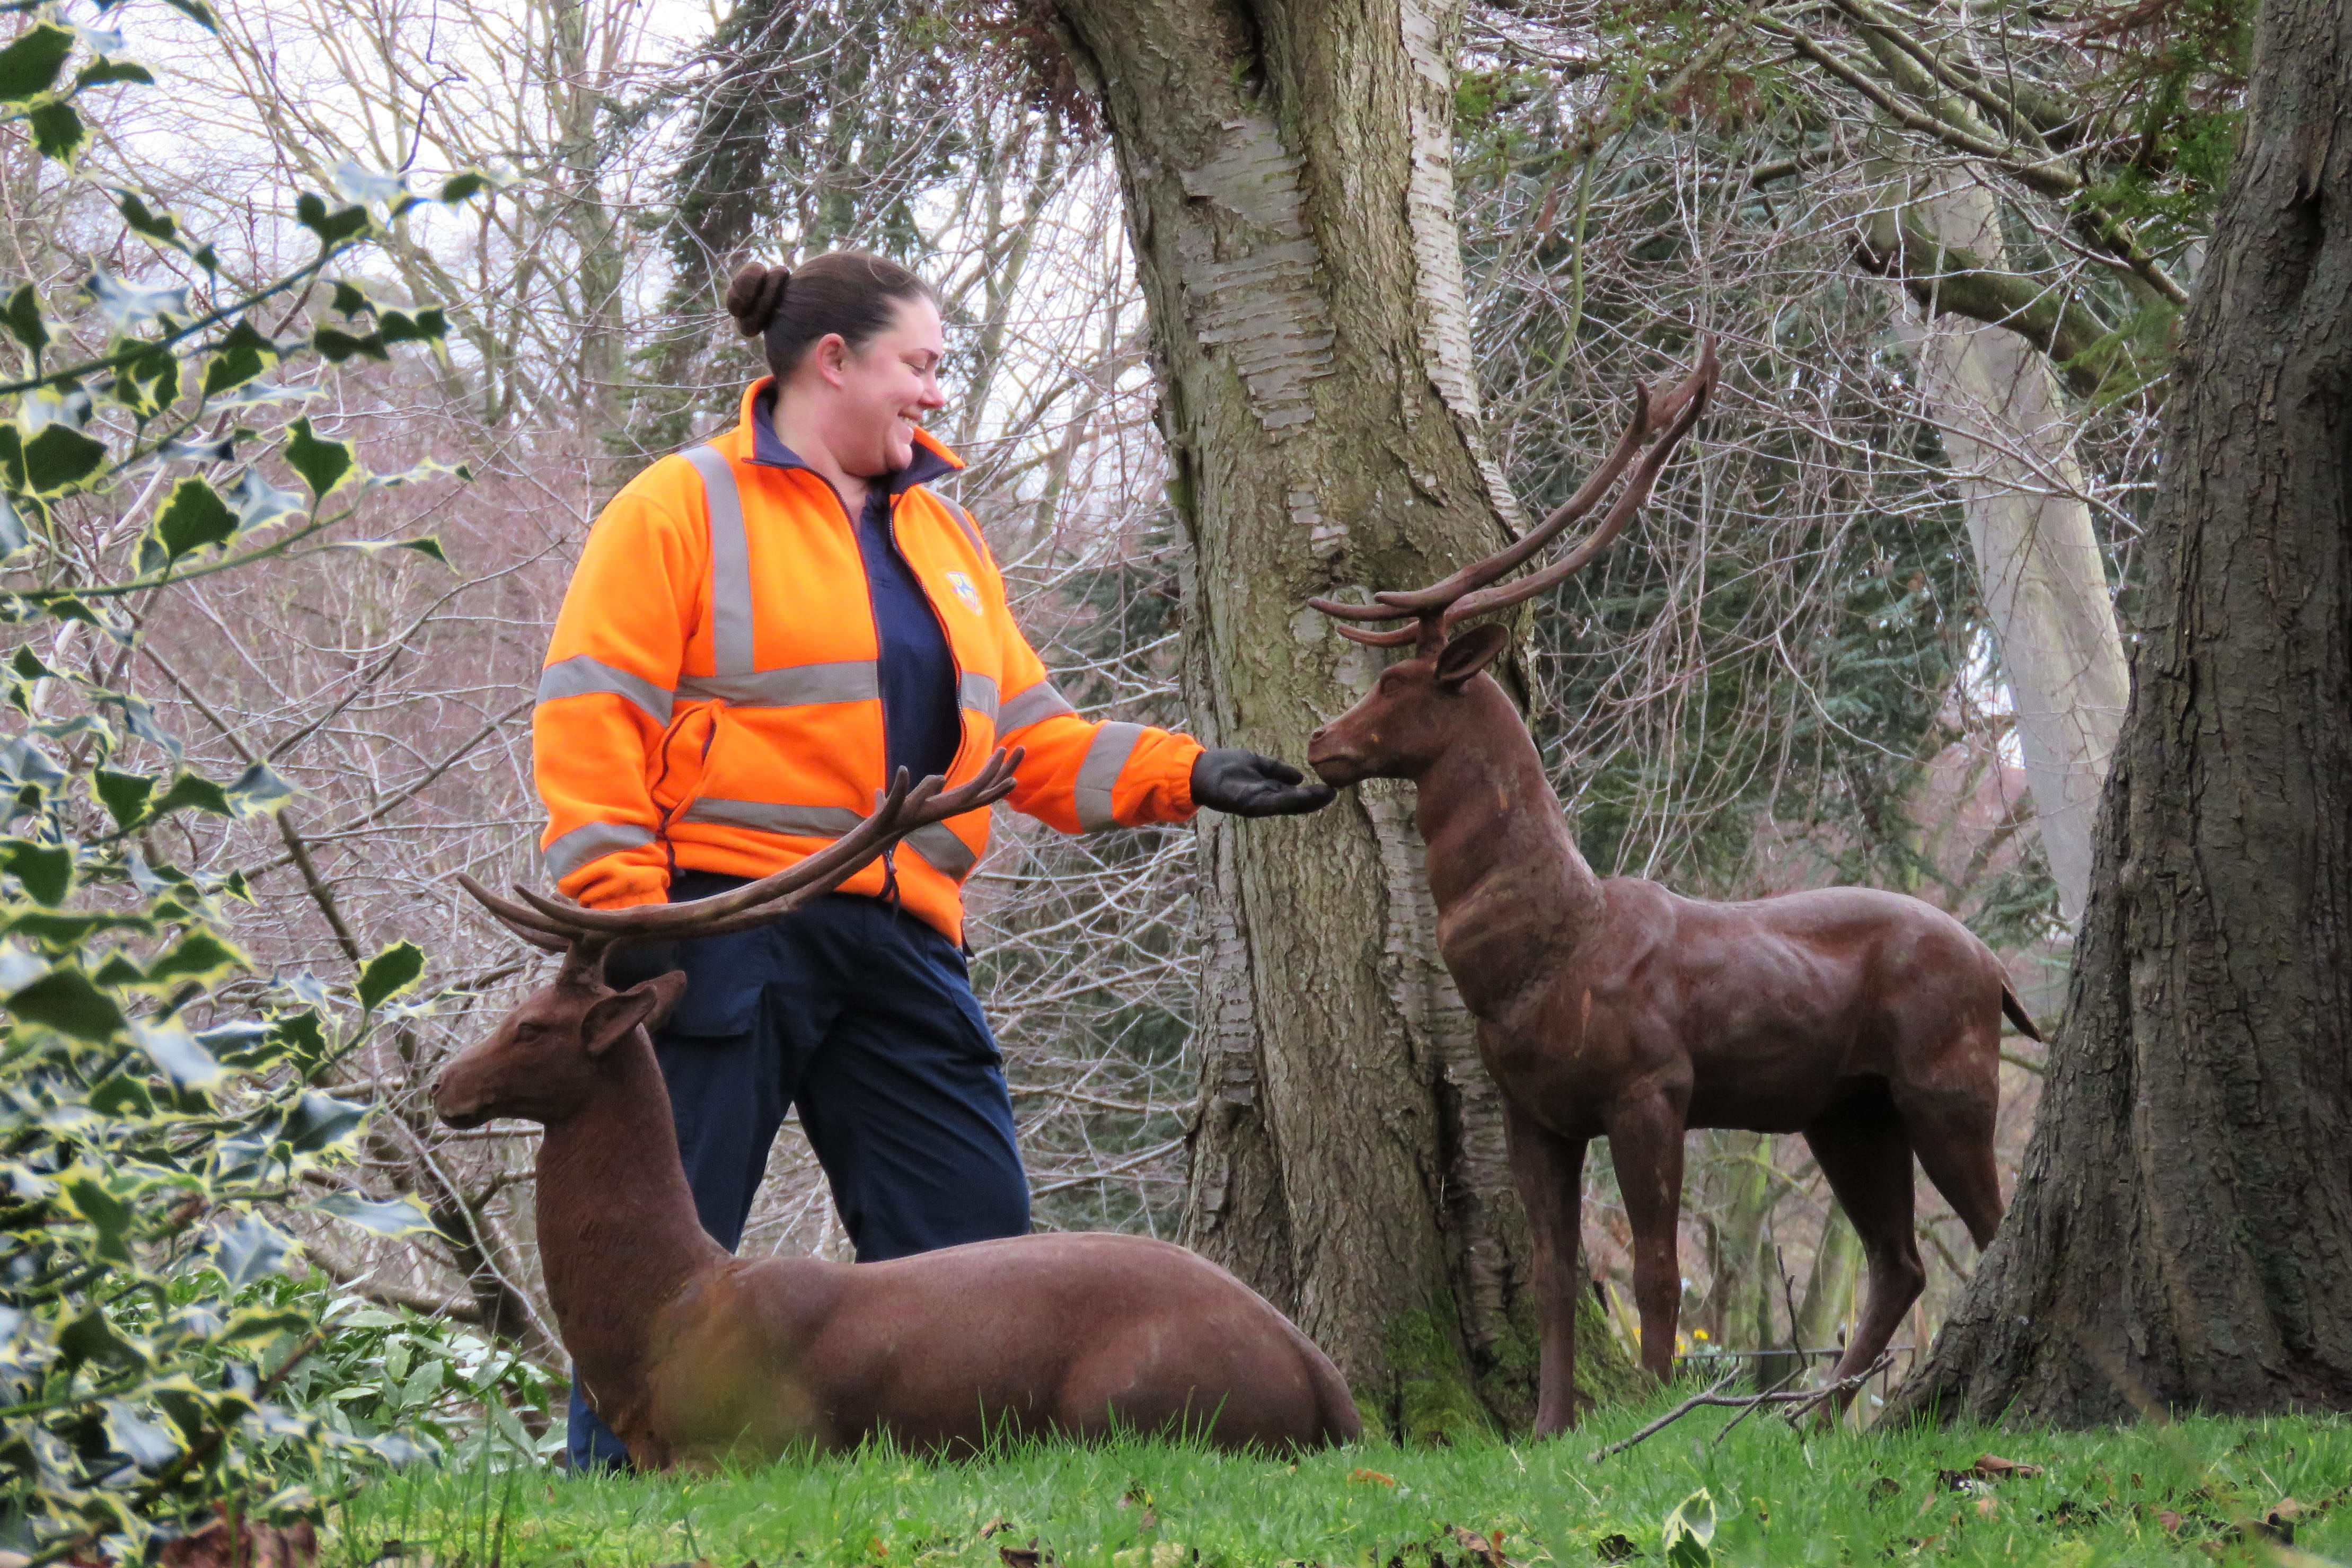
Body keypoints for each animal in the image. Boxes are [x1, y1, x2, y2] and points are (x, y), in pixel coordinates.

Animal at [1302, 342, 2037, 1435]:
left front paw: (1647, 1423)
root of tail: (1997, 970)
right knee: (1898, 1259)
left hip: (1945, 1076)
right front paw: (1548, 1427)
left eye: (1401, 685)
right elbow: (1558, 1272)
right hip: (1844, 1110)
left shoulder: (1651, 1085)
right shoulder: (1535, 1110)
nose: (1320, 742)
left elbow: (1655, 1271)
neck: (1538, 958)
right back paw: (1813, 1417)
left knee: (1988, 1229)